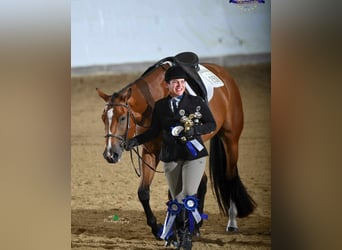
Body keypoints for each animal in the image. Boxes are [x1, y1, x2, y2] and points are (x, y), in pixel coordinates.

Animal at [95, 57, 255, 239]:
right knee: (202, 182)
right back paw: (197, 225)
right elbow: (144, 192)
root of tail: (224, 75)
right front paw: (158, 228)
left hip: (231, 140)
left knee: (230, 178)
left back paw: (230, 222)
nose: (110, 154)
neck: (154, 99)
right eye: (103, 118)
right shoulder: (151, 151)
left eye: (122, 118)